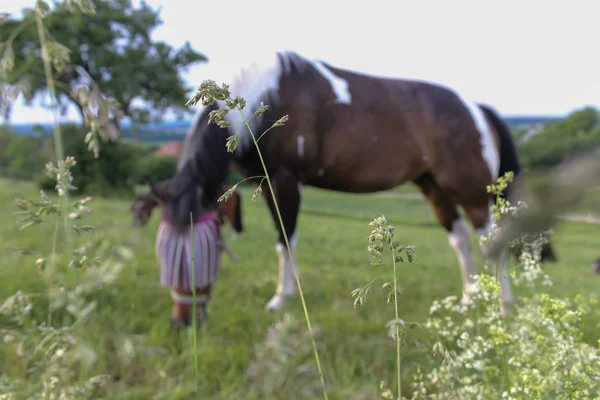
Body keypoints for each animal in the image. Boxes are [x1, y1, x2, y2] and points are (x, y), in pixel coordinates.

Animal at [162, 49, 556, 316]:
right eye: (162, 254)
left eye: (200, 256)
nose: (183, 321)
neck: (266, 95)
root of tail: (475, 108)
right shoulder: (268, 184)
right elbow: (281, 241)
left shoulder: (285, 182)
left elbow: (285, 241)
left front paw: (282, 299)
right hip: (434, 188)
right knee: (460, 241)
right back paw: (469, 301)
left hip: (473, 193)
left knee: (493, 244)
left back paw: (503, 307)